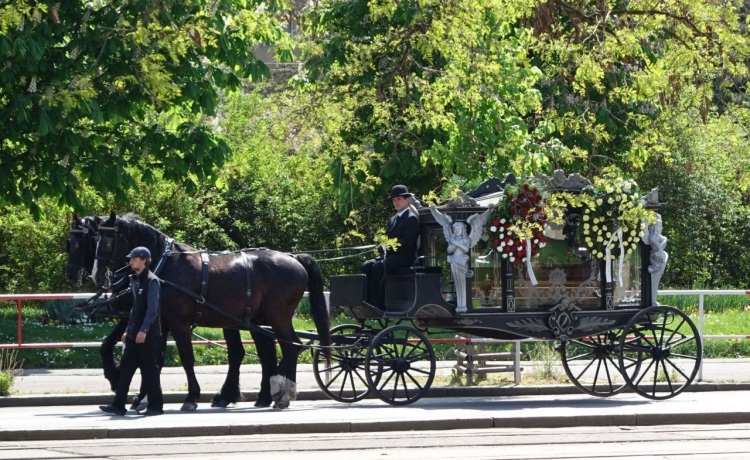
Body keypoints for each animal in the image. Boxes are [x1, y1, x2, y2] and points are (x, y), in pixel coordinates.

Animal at [91, 212, 332, 410]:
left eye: (106, 242)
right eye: (95, 240)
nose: (96, 276)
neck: (165, 264)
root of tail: (294, 257)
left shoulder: (179, 323)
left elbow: (186, 358)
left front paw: (191, 397)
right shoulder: (162, 322)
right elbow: (154, 359)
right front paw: (144, 398)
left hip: (278, 317)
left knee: (293, 346)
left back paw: (280, 389)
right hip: (261, 320)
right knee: (277, 350)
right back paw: (275, 393)